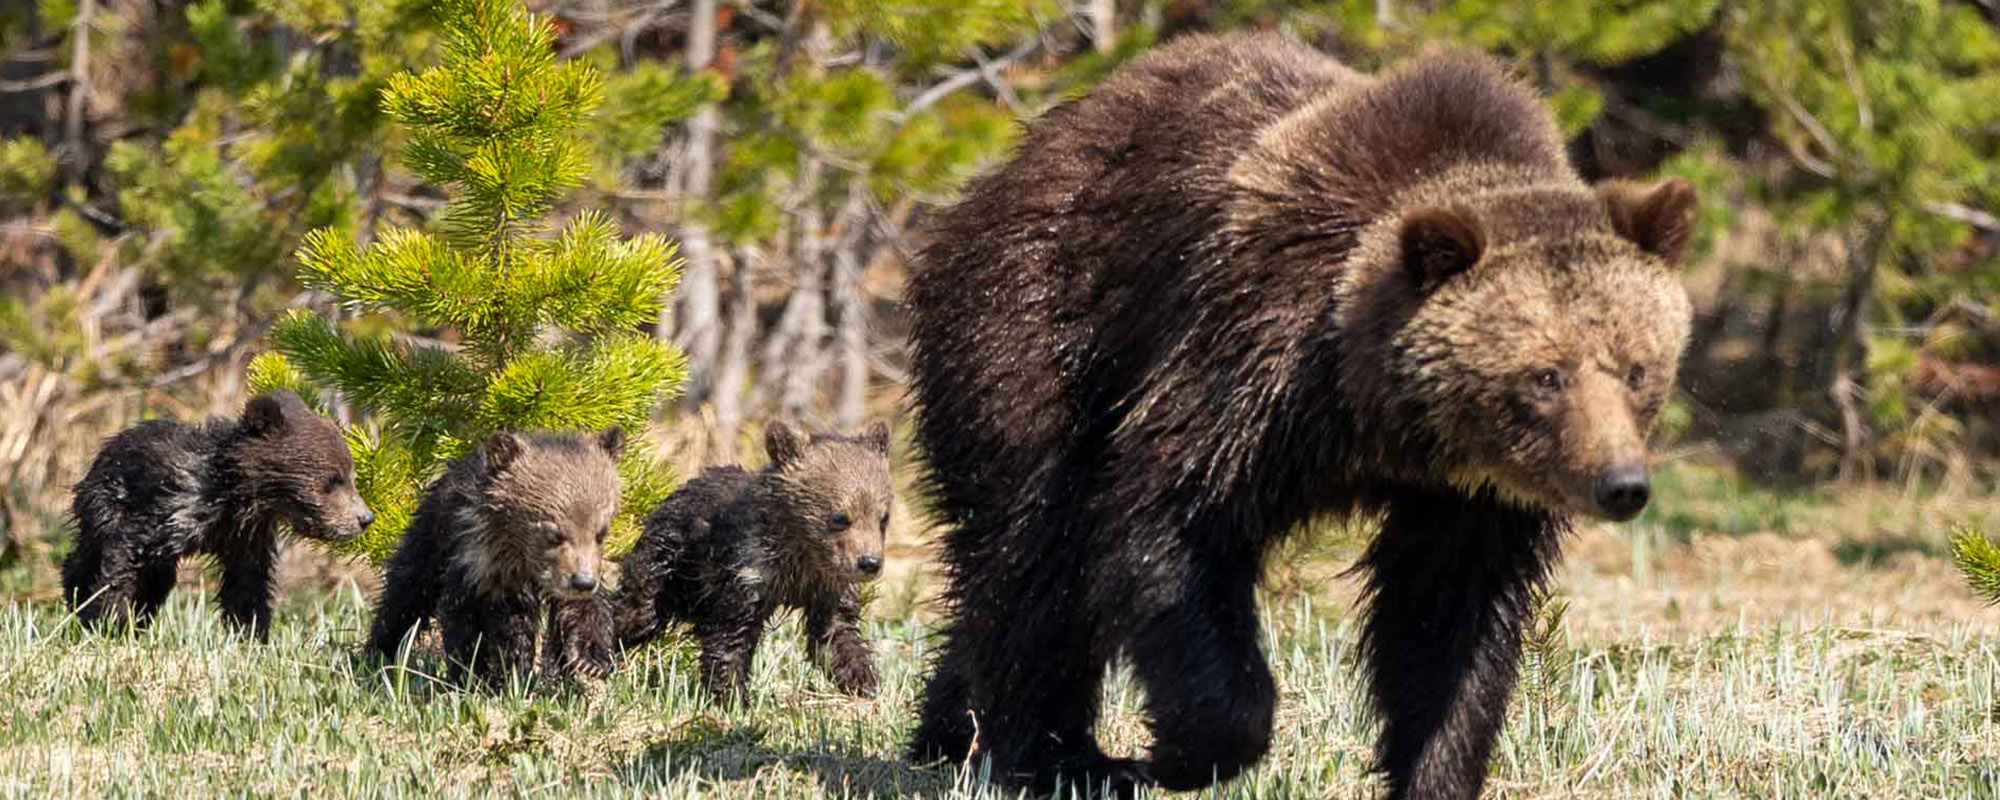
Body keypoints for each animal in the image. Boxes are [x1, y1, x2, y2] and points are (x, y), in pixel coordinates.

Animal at [64, 390, 374, 638]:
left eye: (351, 476)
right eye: (333, 479)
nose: (365, 518)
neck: (233, 496)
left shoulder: (247, 538)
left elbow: (247, 586)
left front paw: (251, 635)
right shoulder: (164, 510)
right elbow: (125, 559)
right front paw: (108, 621)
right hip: (105, 501)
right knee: (89, 555)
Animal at [365, 427, 624, 688]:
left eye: (601, 532)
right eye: (553, 534)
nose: (582, 581)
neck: (521, 556)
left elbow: (584, 610)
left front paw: (590, 661)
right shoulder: (477, 565)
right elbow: (472, 624)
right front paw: (481, 677)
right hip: (431, 535)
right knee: (406, 591)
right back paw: (378, 654)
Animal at [611, 420, 893, 703]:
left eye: (883, 518)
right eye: (840, 518)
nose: (869, 562)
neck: (803, 554)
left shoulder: (829, 584)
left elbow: (836, 633)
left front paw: (866, 681)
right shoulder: (749, 569)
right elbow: (731, 634)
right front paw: (731, 697)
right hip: (666, 559)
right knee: (638, 610)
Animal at [902, 34, 1694, 800]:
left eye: (1637, 369)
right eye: (1546, 375)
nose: (1622, 484)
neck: (1374, 417)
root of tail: (994, 178)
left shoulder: (1469, 502)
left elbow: (1447, 626)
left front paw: (1435, 769)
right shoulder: (1254, 356)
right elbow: (1167, 519)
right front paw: (1184, 751)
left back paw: (947, 731)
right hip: (1037, 325)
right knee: (1035, 548)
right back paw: (1062, 757)